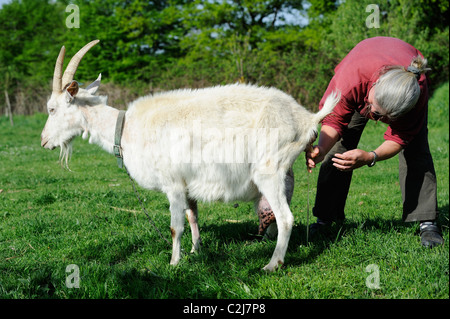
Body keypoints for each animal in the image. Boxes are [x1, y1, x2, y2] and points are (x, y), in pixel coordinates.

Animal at [42, 40, 340, 272]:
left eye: (52, 109)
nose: (44, 141)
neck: (126, 130)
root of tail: (306, 118)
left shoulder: (172, 184)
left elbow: (176, 226)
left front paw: (174, 263)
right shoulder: (187, 185)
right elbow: (192, 218)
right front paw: (196, 252)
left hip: (269, 170)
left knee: (286, 218)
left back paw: (271, 264)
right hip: (285, 173)